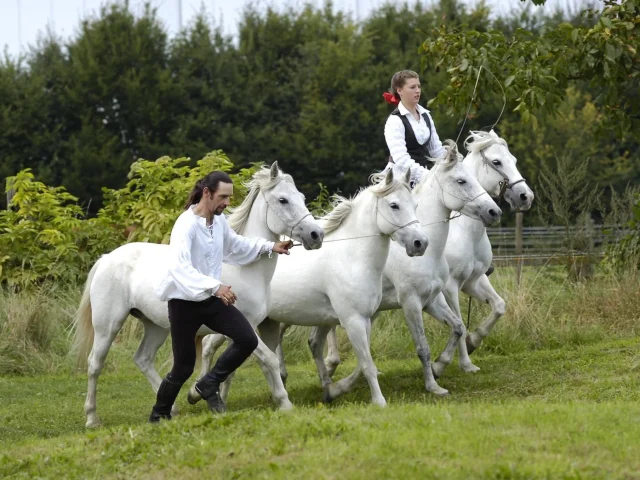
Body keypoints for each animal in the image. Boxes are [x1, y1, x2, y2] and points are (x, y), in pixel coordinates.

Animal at [74, 162, 324, 428]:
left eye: (302, 197)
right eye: (283, 200)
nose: (316, 235)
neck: (244, 269)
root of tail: (106, 259)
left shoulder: (238, 329)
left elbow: (236, 362)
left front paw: (199, 393)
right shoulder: (246, 327)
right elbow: (268, 360)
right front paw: (285, 404)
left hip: (155, 326)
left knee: (143, 359)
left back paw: (170, 409)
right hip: (108, 325)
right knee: (95, 364)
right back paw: (92, 419)